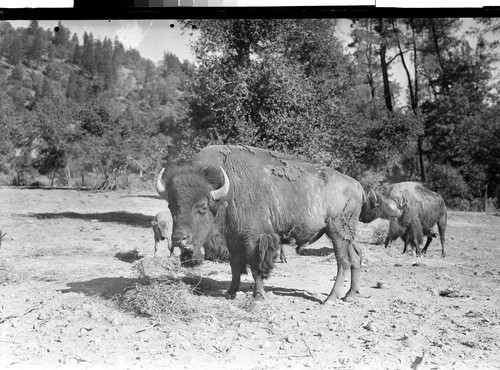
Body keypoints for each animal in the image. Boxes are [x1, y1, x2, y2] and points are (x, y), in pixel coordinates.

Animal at [156, 145, 398, 304]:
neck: (226, 193)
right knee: (356, 257)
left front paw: (258, 295)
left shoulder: (255, 239)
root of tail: (357, 185)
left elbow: (256, 268)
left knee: (343, 262)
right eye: (171, 205)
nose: (179, 238)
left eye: (203, 206)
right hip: (347, 234)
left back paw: (330, 298)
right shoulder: (234, 240)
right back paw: (350, 295)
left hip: (337, 232)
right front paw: (231, 293)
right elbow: (235, 266)